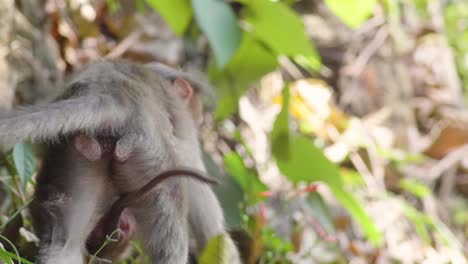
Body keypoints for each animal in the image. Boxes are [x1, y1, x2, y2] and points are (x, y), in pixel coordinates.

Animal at [0, 60, 241, 264]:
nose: (199, 116)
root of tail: (112, 94)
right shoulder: (187, 139)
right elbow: (213, 232)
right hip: (151, 157)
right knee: (172, 220)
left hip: (76, 155)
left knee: (65, 244)